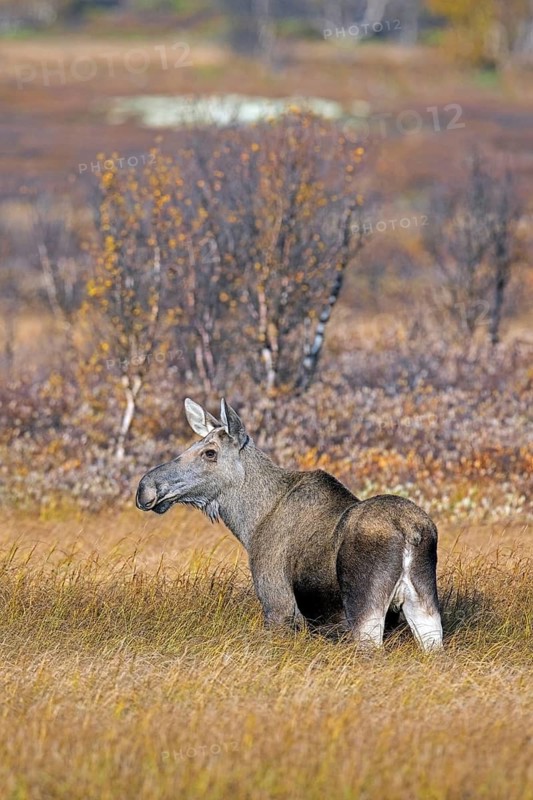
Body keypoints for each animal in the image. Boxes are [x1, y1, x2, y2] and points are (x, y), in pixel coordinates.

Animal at [136, 399, 443, 651]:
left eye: (210, 452)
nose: (146, 488)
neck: (251, 524)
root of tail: (410, 532)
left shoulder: (278, 607)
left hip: (364, 609)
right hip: (425, 606)